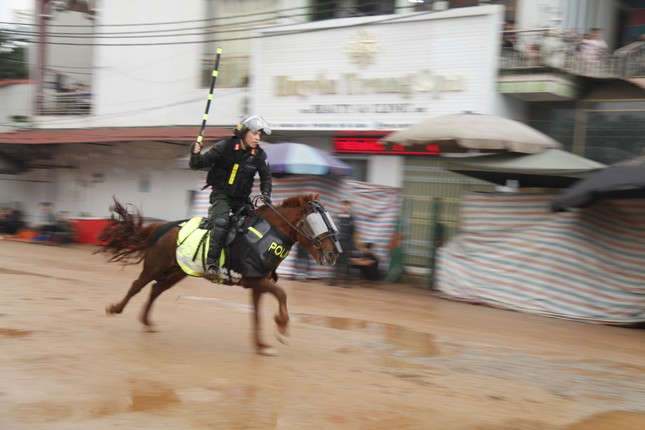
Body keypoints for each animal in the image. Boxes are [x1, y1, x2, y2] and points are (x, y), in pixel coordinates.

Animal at [97, 195, 338, 356]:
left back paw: (147, 321)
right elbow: (282, 294)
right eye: (315, 222)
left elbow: (257, 314)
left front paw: (262, 345)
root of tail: (162, 226)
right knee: (136, 286)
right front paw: (281, 325)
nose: (333, 253)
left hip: (177, 272)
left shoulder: (258, 284)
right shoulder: (255, 279)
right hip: (155, 266)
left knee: (156, 289)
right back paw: (115, 309)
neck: (266, 235)